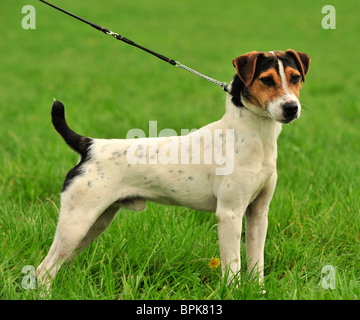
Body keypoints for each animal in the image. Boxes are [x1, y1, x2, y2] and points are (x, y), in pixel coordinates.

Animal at [36, 48, 310, 288]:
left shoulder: (258, 213)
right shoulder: (230, 213)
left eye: (295, 77)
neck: (253, 136)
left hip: (94, 223)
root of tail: (89, 146)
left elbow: (256, 264)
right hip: (77, 222)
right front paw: (233, 291)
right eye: (266, 80)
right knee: (43, 270)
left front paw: (257, 291)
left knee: (57, 265)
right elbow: (233, 266)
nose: (291, 108)